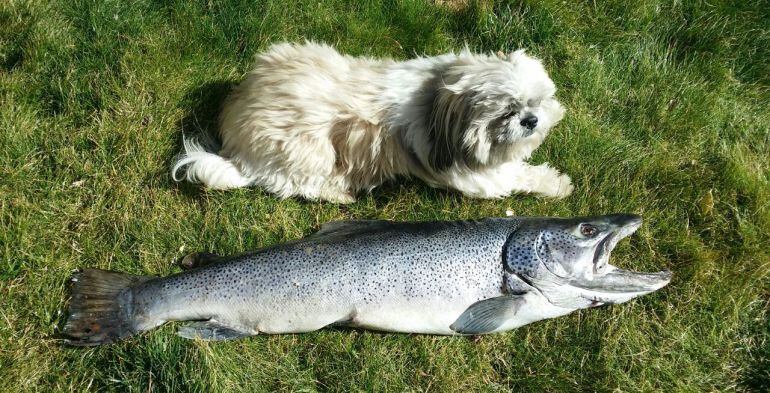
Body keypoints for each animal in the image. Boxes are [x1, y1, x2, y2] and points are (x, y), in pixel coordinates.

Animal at [172, 42, 568, 202]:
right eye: (506, 112)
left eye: (537, 101)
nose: (530, 120)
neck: (436, 96)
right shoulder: (473, 177)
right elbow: (517, 176)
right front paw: (557, 184)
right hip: (307, 151)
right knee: (295, 184)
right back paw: (338, 193)